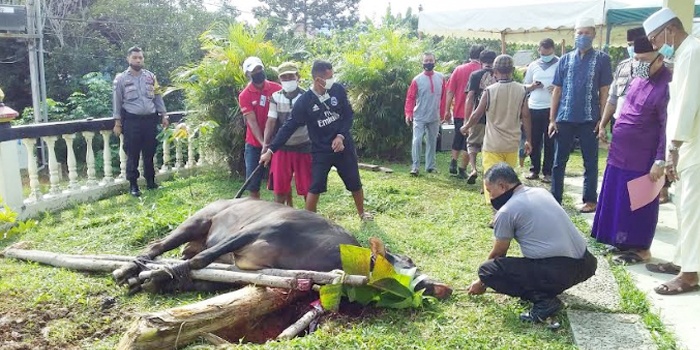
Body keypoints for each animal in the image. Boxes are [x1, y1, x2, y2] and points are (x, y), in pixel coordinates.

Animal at [115, 198, 454, 300]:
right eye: (402, 267)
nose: (438, 286)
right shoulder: (256, 230)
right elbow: (202, 260)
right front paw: (157, 276)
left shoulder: (249, 268)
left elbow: (207, 276)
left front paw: (155, 281)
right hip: (198, 219)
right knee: (160, 246)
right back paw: (129, 268)